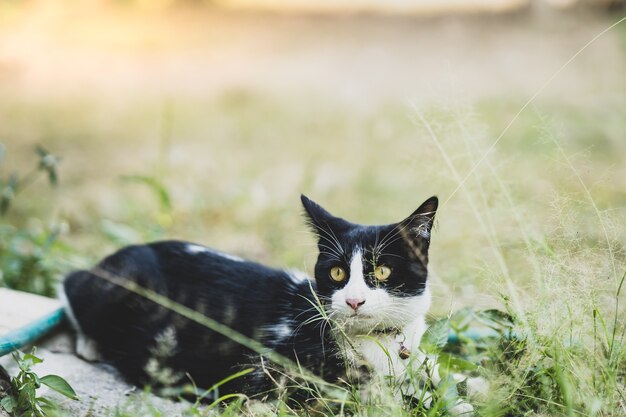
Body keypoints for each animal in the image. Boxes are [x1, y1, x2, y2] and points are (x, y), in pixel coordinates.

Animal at [62, 194, 472, 412]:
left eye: (383, 271)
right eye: (337, 272)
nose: (354, 300)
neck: (380, 341)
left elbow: (433, 371)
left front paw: (464, 391)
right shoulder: (284, 378)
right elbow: (373, 399)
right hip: (123, 280)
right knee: (71, 282)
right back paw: (90, 343)